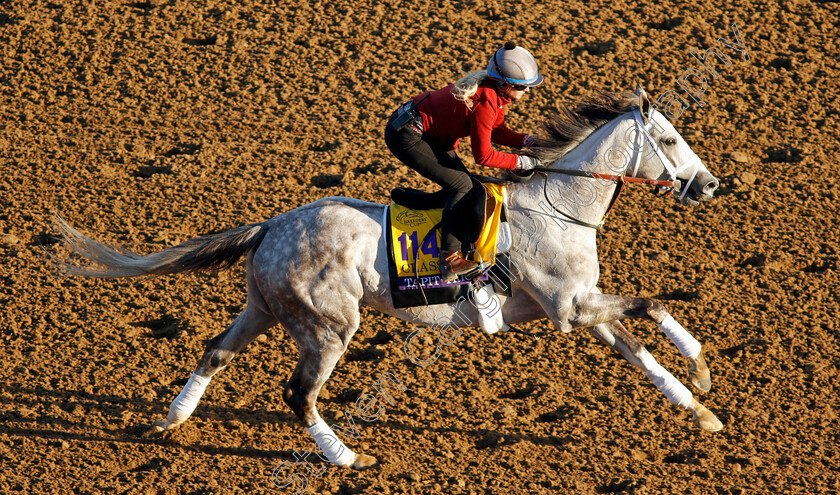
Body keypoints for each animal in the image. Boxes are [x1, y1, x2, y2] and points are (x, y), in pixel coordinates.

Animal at [54, 87, 720, 470]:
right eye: (668, 139)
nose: (709, 184)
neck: (560, 205)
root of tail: (271, 227)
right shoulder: (571, 308)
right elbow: (654, 306)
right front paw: (703, 369)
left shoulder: (582, 305)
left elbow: (638, 349)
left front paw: (699, 409)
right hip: (328, 327)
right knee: (299, 394)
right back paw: (347, 457)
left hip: (264, 308)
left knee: (215, 352)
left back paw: (170, 421)